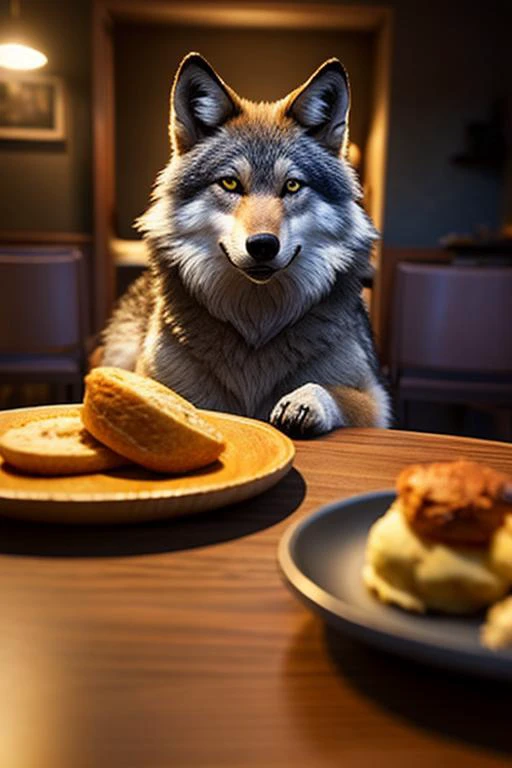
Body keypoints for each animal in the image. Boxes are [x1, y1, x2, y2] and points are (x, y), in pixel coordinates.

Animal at [98, 52, 390, 438]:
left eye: (292, 186)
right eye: (230, 183)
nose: (263, 245)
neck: (256, 323)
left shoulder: (375, 401)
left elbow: (332, 391)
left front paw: (303, 402)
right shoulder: (157, 380)